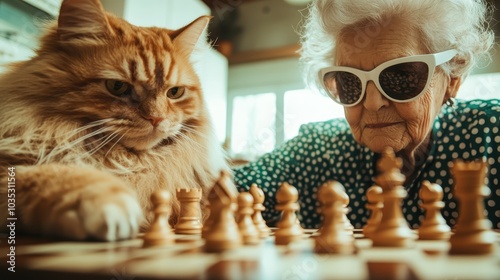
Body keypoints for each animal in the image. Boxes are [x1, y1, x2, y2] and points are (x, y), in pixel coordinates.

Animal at [0, 0, 229, 241]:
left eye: (174, 92)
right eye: (117, 87)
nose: (156, 118)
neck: (127, 161)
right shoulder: (9, 167)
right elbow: (53, 174)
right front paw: (105, 203)